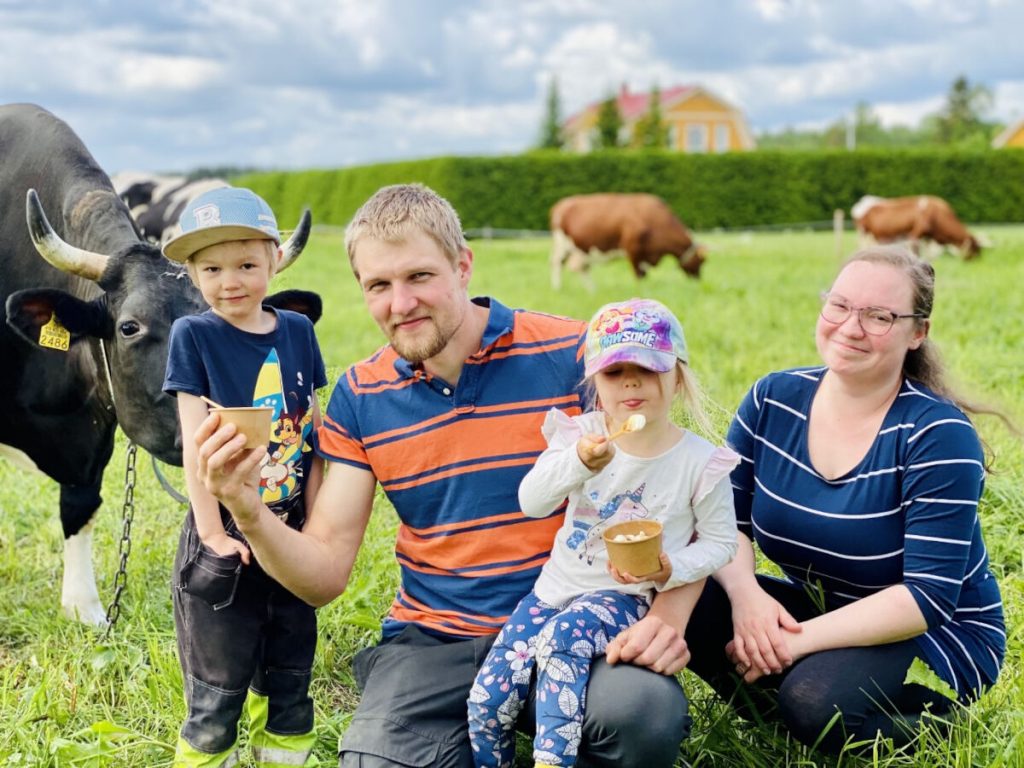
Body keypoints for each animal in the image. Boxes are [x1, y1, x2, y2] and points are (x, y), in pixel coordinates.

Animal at [548, 192, 708, 288]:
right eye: (701, 261)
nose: (699, 281)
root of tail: (561, 204)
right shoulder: (633, 249)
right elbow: (638, 275)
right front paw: (640, 291)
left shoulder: (646, 255)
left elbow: (643, 274)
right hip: (562, 244)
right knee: (559, 264)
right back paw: (558, 288)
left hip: (580, 250)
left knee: (580, 268)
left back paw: (592, 290)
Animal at [847, 195, 983, 262]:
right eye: (975, 248)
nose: (978, 261)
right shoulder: (916, 233)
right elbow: (916, 251)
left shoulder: (928, 237)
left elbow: (929, 254)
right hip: (863, 232)